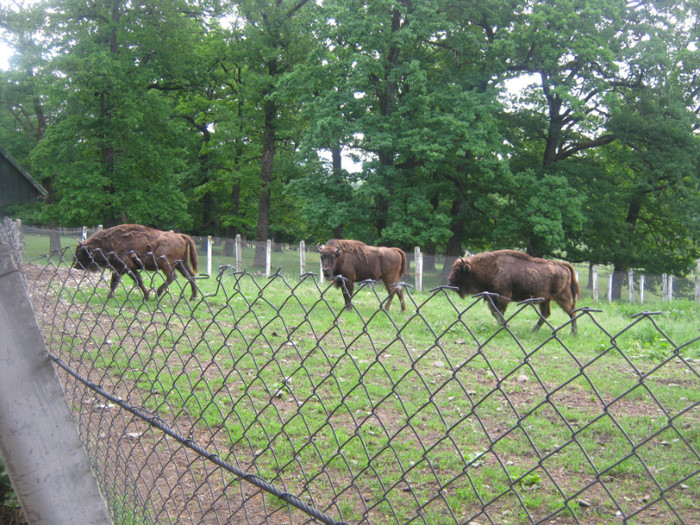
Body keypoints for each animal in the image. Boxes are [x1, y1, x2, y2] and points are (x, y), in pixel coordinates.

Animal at [448, 249, 580, 332]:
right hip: (545, 299)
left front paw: (505, 326)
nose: (449, 283)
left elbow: (500, 312)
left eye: (458, 270)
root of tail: (562, 265)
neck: (491, 268)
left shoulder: (503, 297)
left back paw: (573, 333)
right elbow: (495, 312)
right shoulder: (492, 298)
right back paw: (533, 330)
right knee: (545, 314)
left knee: (572, 312)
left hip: (562, 297)